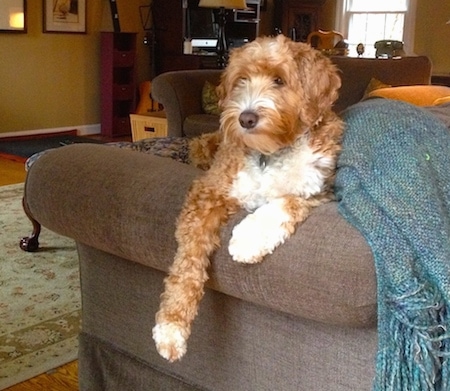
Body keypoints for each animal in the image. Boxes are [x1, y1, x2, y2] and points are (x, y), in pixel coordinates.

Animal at [153, 35, 342, 362]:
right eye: (242, 79)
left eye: (279, 80)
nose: (246, 118)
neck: (270, 152)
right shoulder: (208, 192)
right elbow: (187, 262)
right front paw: (171, 327)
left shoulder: (320, 189)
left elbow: (286, 202)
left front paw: (249, 239)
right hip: (202, 148)